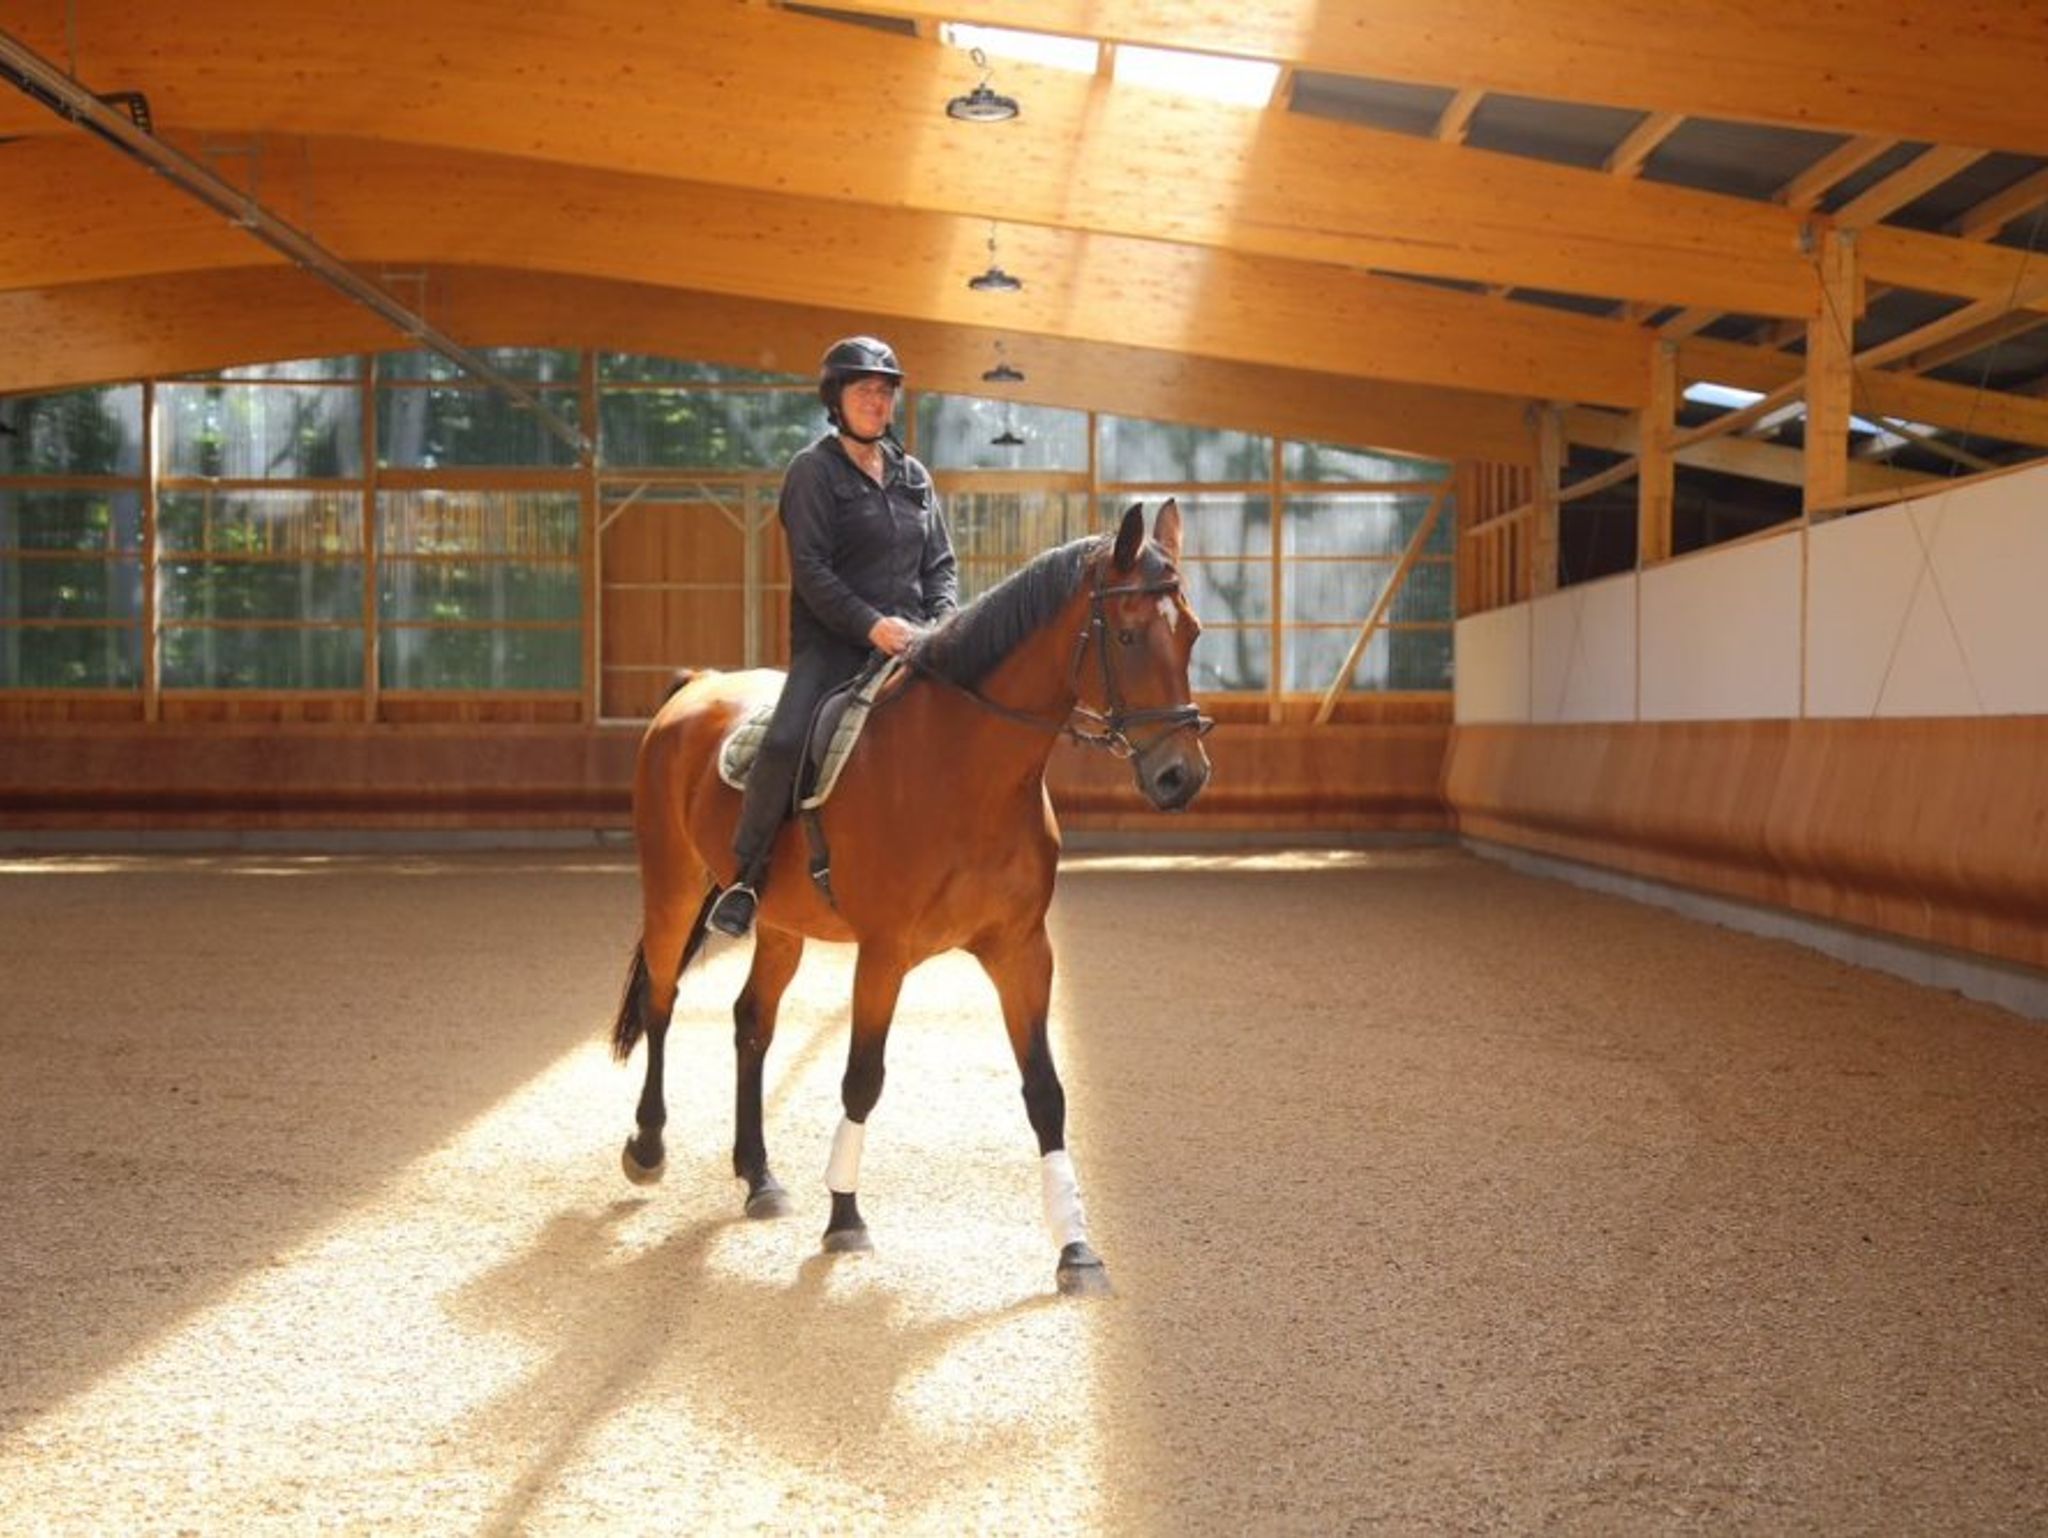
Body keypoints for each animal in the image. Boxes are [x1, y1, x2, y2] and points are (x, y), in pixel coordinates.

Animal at [606, 499, 1212, 1294]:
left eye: (1192, 632)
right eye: (1132, 634)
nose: (1182, 776)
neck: (963, 767)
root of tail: (698, 685)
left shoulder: (1023, 951)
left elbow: (1046, 1092)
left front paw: (1077, 1250)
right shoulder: (885, 954)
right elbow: (862, 1079)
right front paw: (844, 1219)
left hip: (780, 925)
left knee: (751, 1024)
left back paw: (759, 1177)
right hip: (672, 887)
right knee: (663, 999)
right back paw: (647, 1146)